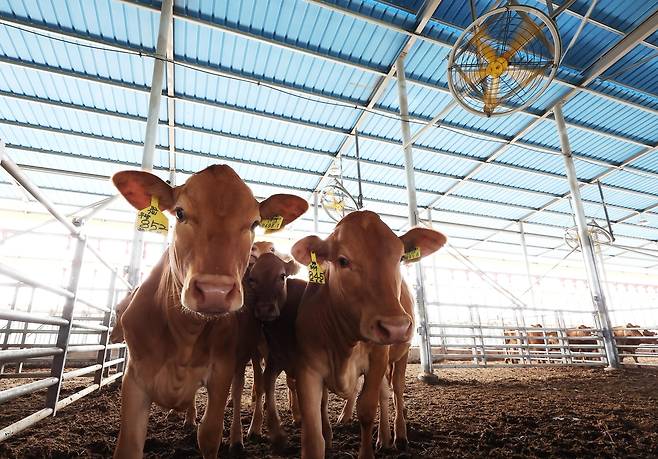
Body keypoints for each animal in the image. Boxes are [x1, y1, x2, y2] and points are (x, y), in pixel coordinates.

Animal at [111, 166, 308, 459]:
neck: (185, 333)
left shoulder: (222, 371)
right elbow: (128, 446)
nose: (215, 291)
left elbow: (210, 433)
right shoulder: (134, 379)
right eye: (180, 213)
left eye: (254, 223)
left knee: (248, 389)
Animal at [288, 212, 446, 459]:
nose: (396, 326)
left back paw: (398, 435)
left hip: (400, 354)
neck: (343, 342)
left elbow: (367, 407)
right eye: (343, 260)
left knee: (395, 391)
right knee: (381, 392)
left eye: (401, 257)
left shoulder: (378, 359)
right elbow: (313, 431)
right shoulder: (308, 367)